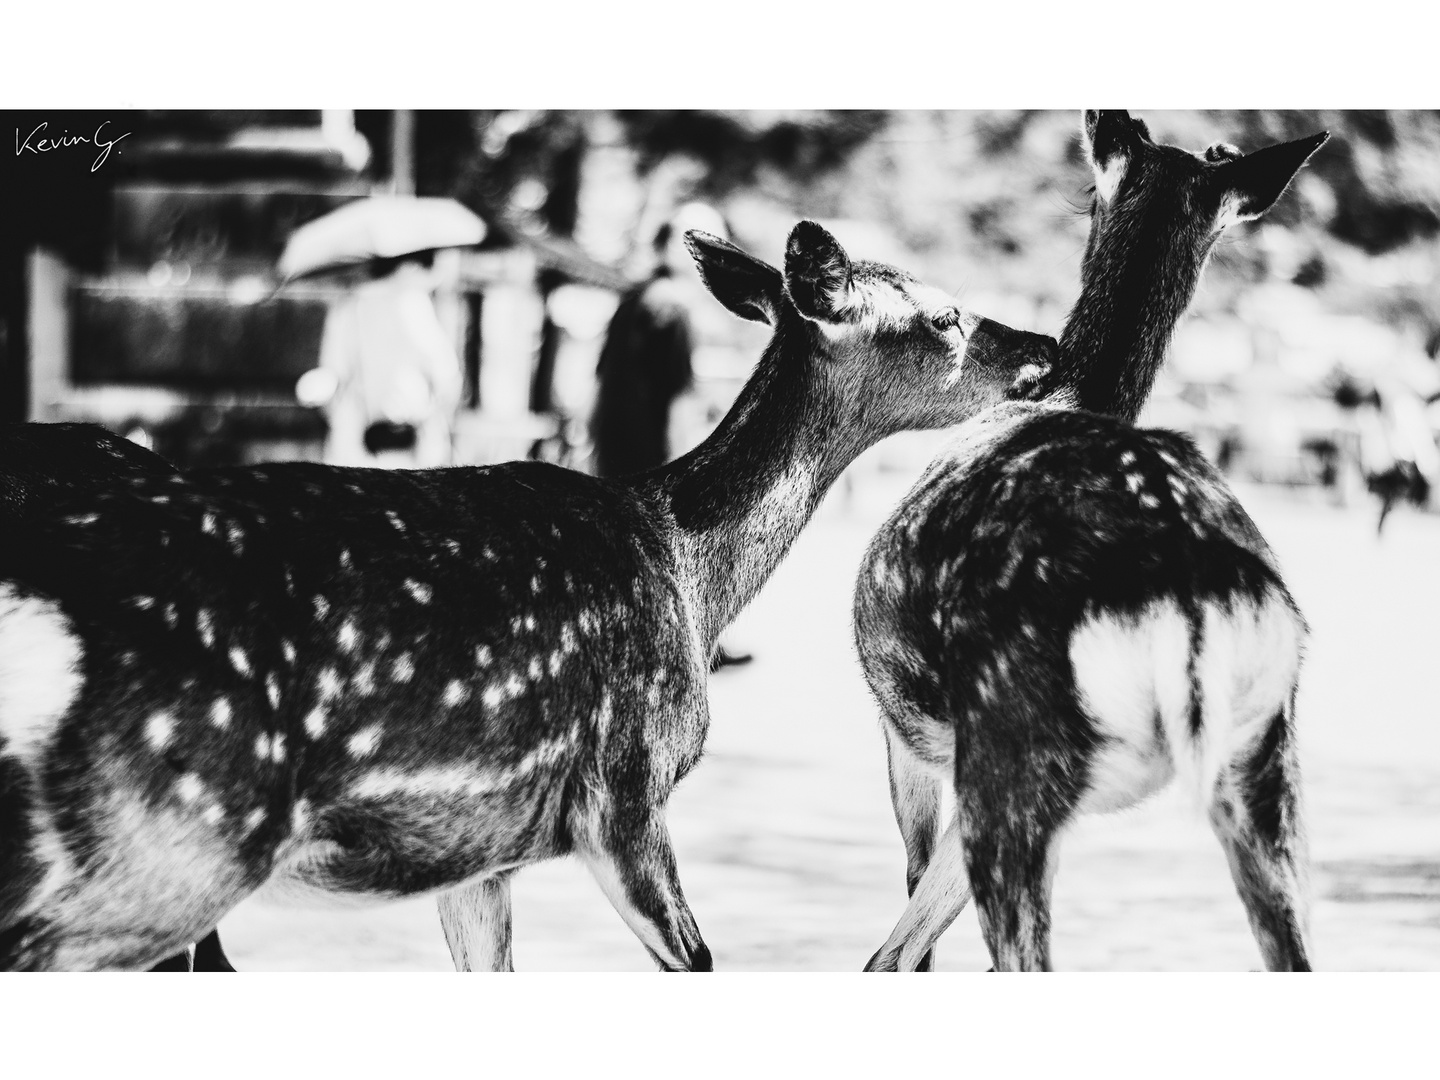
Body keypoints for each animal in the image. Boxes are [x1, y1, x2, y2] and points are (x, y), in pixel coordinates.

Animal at [0, 220, 1059, 973]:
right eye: (944, 316)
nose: (1045, 346)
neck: (689, 570)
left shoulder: (482, 851)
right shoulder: (623, 791)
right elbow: (701, 961)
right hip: (164, 839)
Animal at [852, 114, 1324, 979]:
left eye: (1085, 190)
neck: (1078, 392)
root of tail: (1190, 599)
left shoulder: (906, 734)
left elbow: (902, 949)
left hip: (1013, 754)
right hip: (1265, 759)